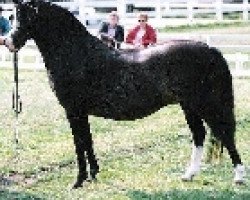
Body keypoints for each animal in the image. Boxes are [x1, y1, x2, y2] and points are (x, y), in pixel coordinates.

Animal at [6, 0, 245, 188]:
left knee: (224, 134)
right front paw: (93, 175)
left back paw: (239, 177)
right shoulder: (81, 112)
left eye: (25, 17)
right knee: (199, 135)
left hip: (206, 105)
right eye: (12, 16)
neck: (77, 53)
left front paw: (78, 181)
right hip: (189, 106)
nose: (8, 42)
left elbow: (79, 144)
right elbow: (88, 142)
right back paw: (189, 175)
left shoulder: (74, 111)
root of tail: (211, 50)